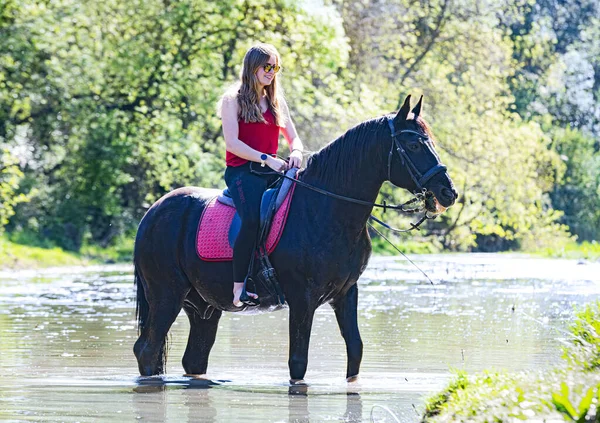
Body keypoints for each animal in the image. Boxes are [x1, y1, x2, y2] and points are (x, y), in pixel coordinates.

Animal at [134, 96, 458, 384]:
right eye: (413, 145)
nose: (448, 193)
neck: (326, 209)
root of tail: (151, 213)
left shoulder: (346, 293)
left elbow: (355, 351)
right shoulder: (303, 299)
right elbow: (298, 362)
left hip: (203, 306)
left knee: (194, 358)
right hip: (166, 295)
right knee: (147, 350)